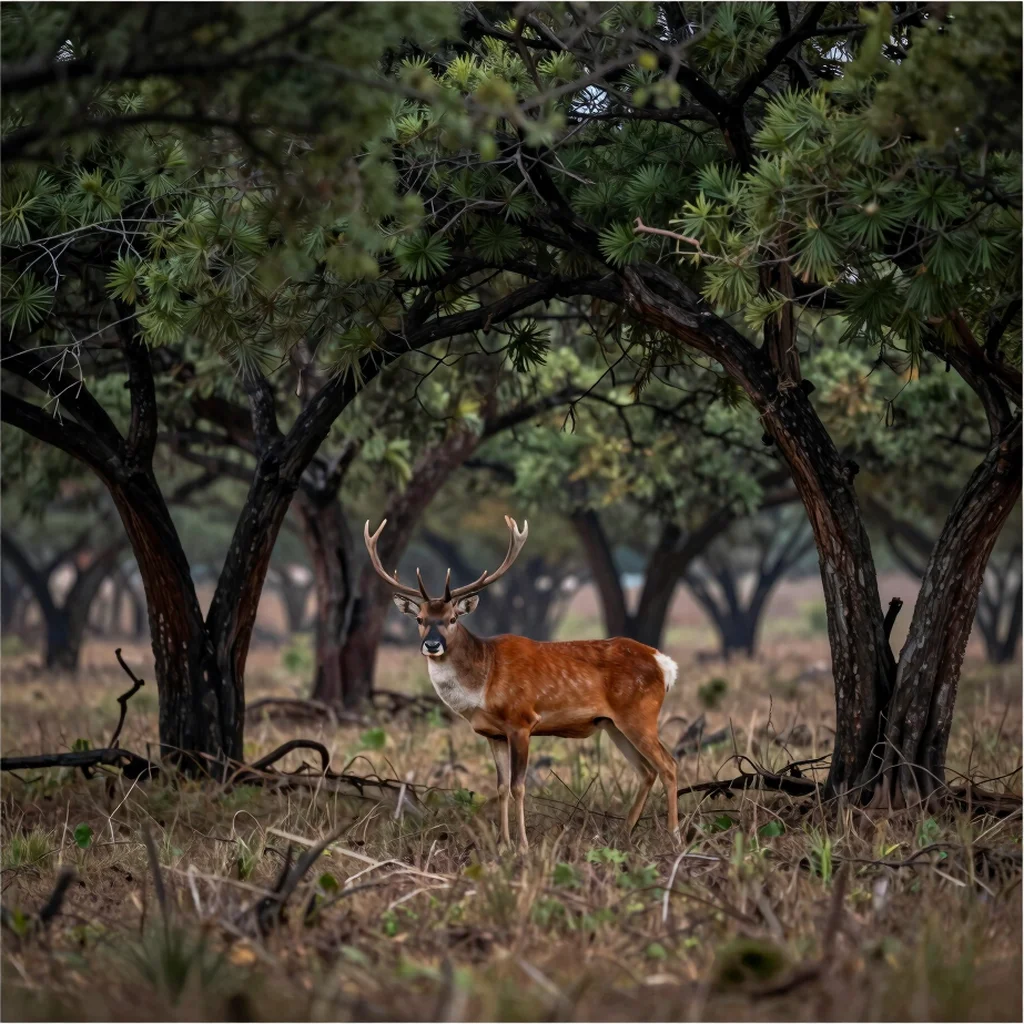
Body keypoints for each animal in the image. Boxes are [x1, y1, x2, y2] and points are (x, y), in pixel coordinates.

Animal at [365, 514, 679, 853]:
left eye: (452, 619)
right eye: (420, 619)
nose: (432, 645)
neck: (483, 684)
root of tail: (664, 663)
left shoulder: (522, 721)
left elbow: (519, 786)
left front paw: (524, 845)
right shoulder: (493, 733)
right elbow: (501, 786)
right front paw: (502, 843)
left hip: (640, 714)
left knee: (668, 765)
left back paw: (674, 836)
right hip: (612, 724)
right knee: (646, 771)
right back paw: (624, 834)